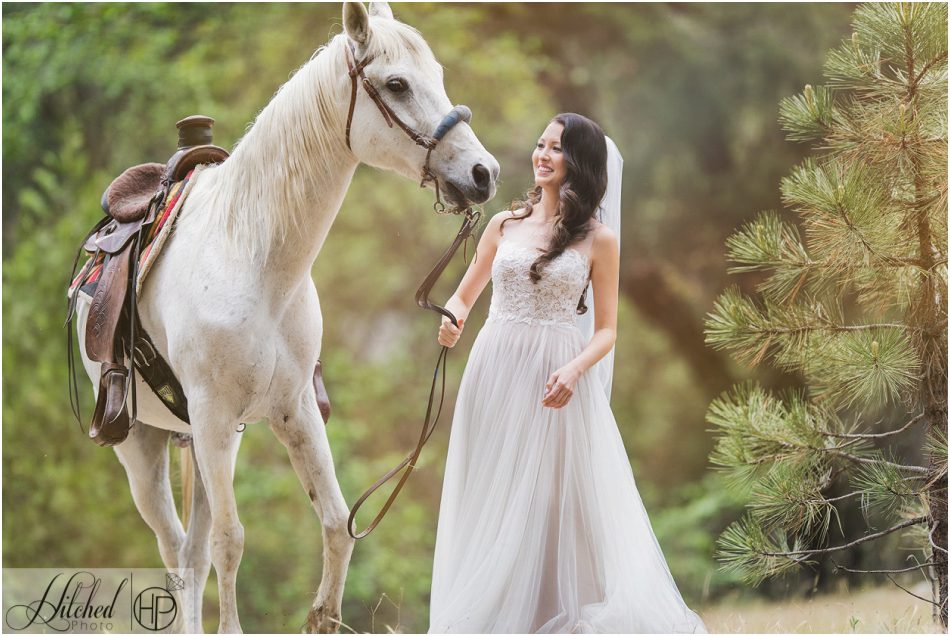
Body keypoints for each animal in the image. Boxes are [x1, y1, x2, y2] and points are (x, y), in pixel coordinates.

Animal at [71, 2, 502, 632]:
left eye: (439, 75)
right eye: (397, 84)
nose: (482, 173)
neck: (255, 262)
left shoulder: (292, 410)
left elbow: (337, 524)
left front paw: (323, 616)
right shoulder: (215, 416)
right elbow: (230, 542)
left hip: (202, 444)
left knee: (191, 552)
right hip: (145, 445)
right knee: (178, 553)